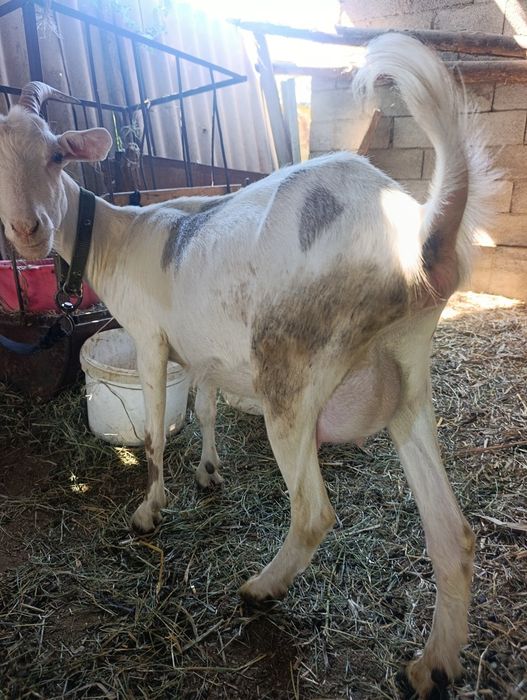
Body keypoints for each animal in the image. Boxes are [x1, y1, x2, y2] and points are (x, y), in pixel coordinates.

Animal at [0, 35, 495, 698]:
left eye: (56, 154)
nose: (28, 229)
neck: (115, 237)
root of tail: (418, 237)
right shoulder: (200, 349)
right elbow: (205, 407)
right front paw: (209, 472)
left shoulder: (152, 340)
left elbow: (155, 436)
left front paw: (149, 512)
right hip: (408, 380)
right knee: (452, 534)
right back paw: (433, 664)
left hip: (292, 374)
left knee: (313, 512)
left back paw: (261, 589)